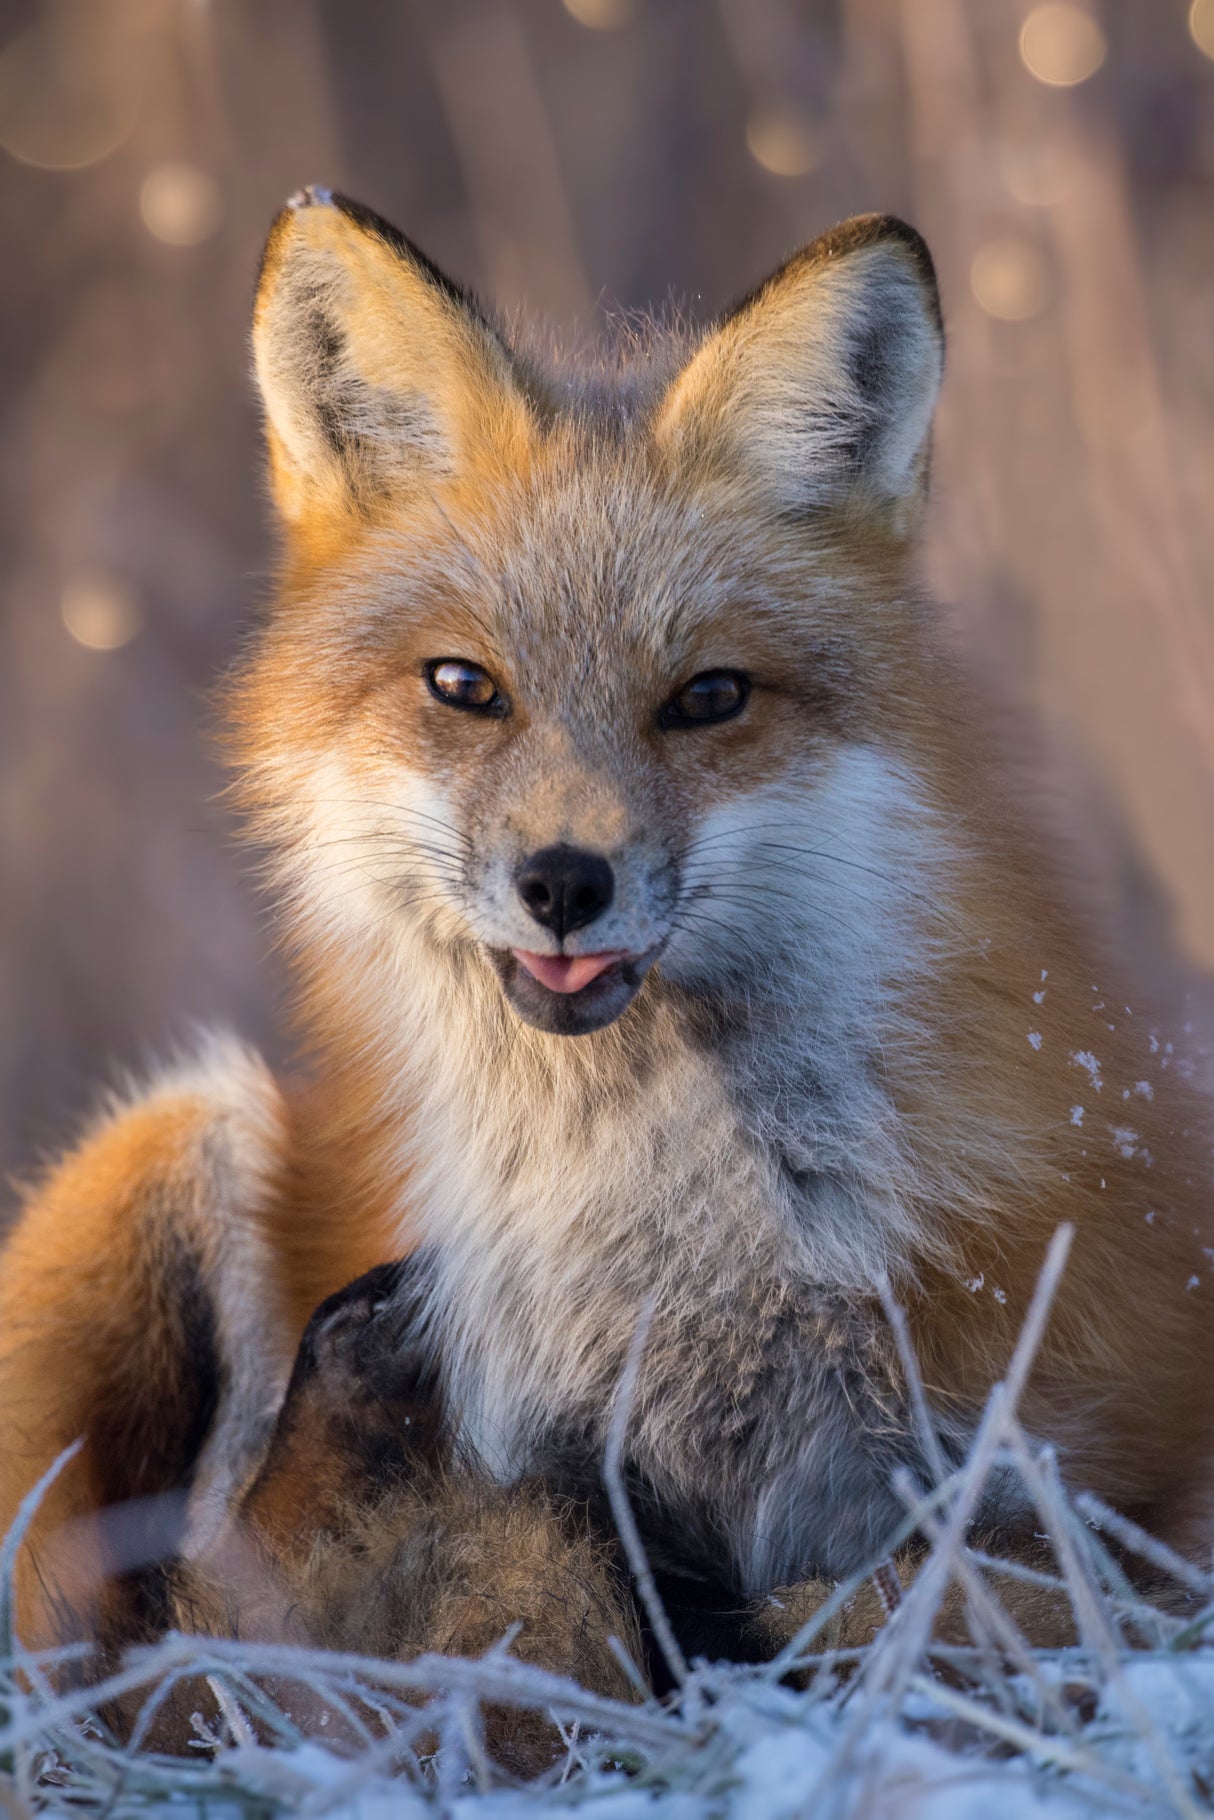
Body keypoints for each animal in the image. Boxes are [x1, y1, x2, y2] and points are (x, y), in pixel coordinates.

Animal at [1, 189, 1212, 1762]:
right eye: (465, 688)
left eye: (707, 698)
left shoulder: (1063, 1469)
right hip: (159, 1147)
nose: (563, 882)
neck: (657, 1255)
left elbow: (942, 1599)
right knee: (109, 1645)